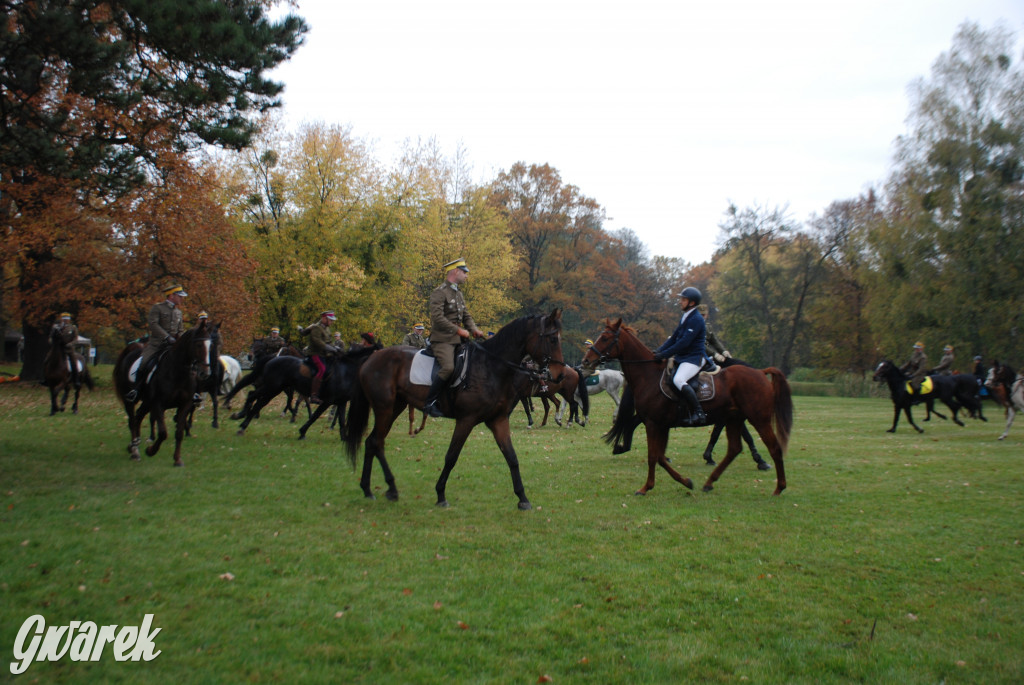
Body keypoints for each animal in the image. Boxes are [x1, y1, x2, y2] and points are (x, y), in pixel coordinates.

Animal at [114, 323, 214, 466]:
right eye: (199, 344)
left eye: (210, 346)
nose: (205, 373)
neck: (178, 372)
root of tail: (131, 351)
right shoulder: (158, 404)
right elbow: (163, 433)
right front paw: (150, 451)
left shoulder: (184, 404)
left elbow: (179, 432)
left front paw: (177, 460)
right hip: (130, 400)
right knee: (132, 420)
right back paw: (135, 452)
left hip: (147, 402)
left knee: (138, 417)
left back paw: (133, 446)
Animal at [344, 309, 569, 507]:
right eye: (553, 340)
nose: (560, 375)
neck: (491, 367)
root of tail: (372, 358)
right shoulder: (466, 420)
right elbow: (451, 457)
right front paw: (440, 494)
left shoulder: (498, 421)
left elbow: (512, 458)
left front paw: (522, 499)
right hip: (384, 408)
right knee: (376, 442)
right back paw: (388, 488)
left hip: (395, 407)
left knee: (373, 442)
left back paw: (370, 489)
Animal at [585, 317, 790, 493]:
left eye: (605, 338)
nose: (586, 360)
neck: (648, 374)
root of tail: (760, 372)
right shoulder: (660, 424)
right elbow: (658, 456)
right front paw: (684, 480)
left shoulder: (654, 423)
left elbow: (654, 456)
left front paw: (646, 487)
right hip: (736, 418)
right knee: (734, 449)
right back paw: (709, 482)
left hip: (758, 418)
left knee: (773, 447)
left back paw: (778, 486)